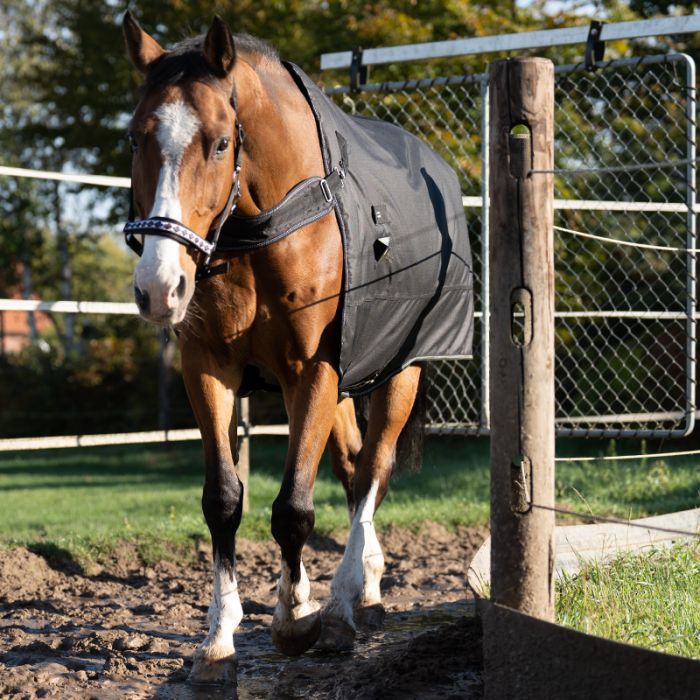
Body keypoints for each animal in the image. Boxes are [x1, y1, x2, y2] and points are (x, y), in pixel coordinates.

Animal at [123, 8, 474, 680]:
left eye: (221, 142)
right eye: (135, 139)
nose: (159, 286)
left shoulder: (312, 370)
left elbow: (293, 508)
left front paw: (294, 619)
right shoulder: (209, 368)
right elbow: (223, 500)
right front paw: (219, 642)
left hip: (400, 372)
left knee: (373, 470)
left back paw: (343, 608)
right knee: (351, 466)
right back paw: (363, 590)